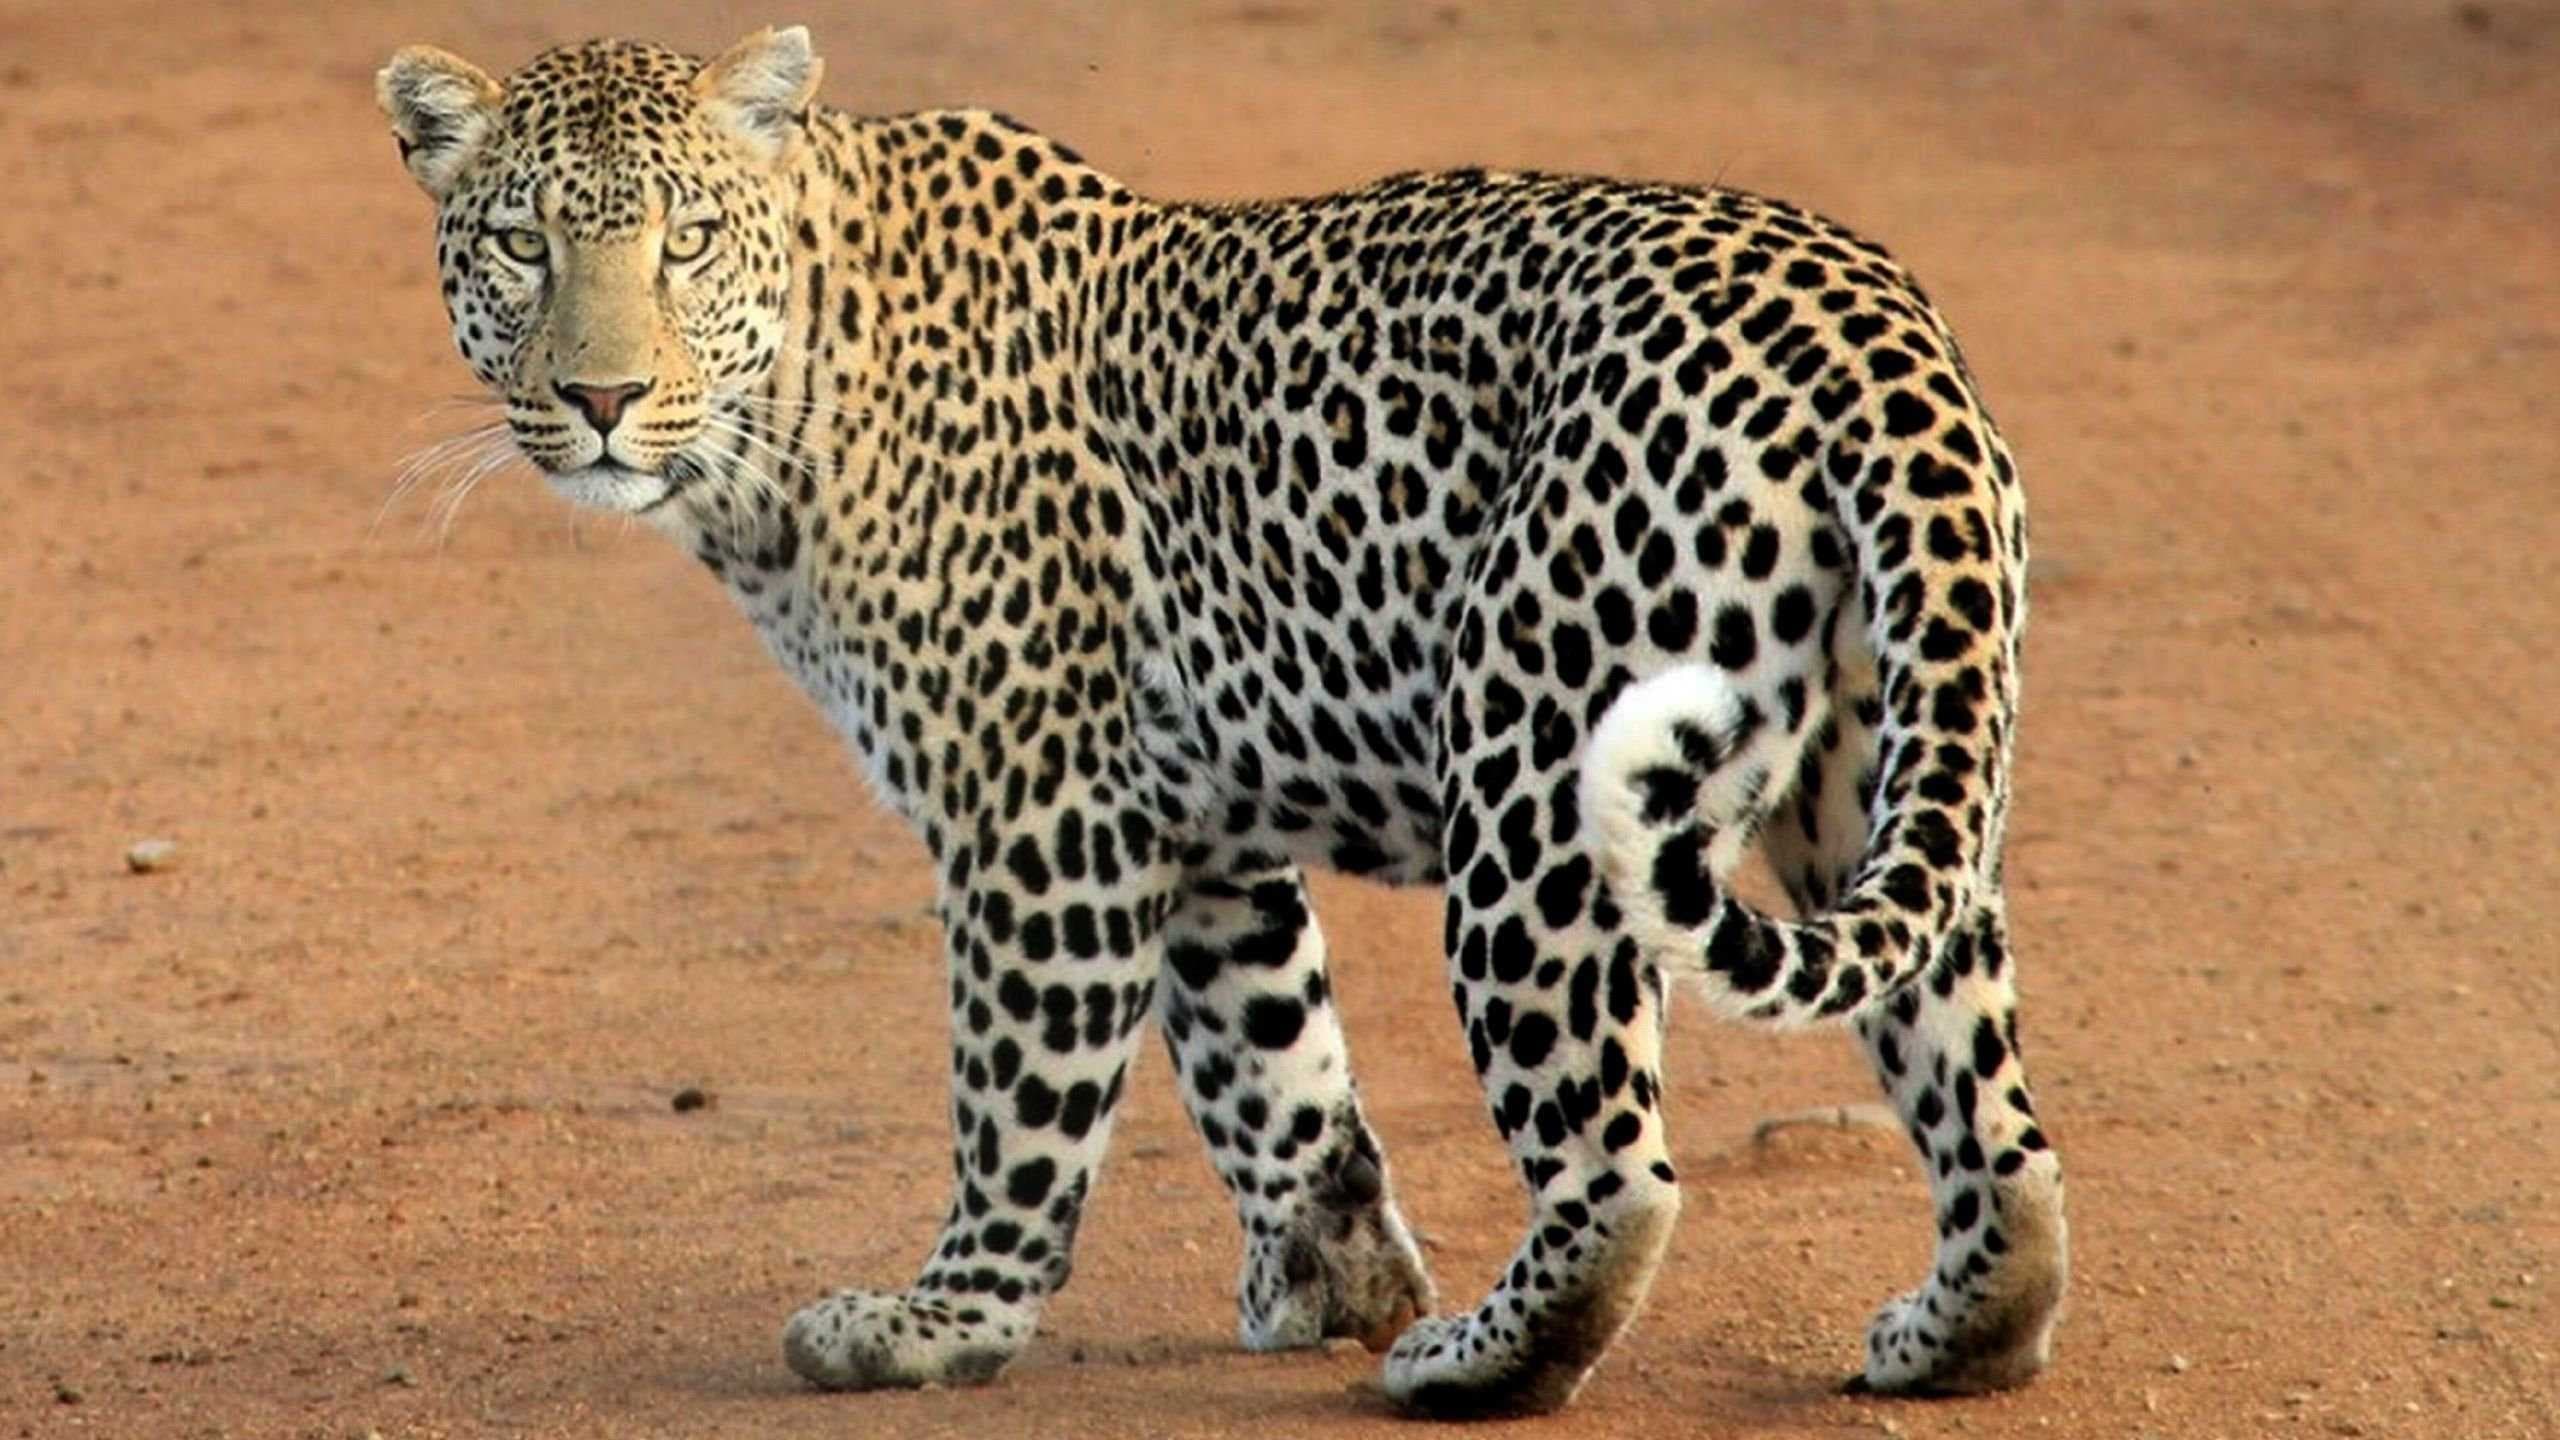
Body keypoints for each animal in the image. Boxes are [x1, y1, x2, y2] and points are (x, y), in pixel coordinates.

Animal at [376, 26, 2068, 1418]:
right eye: (523, 246)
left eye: (688, 243)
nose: (601, 399)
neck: (789, 407)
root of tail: (1869, 330)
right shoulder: (1192, 824)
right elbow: (1275, 1065)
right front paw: (1333, 1275)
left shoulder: (1042, 813)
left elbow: (1021, 1097)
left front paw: (943, 1322)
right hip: (1878, 773)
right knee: (1988, 1108)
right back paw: (1955, 1334)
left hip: (1534, 779)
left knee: (1615, 1168)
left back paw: (1472, 1362)